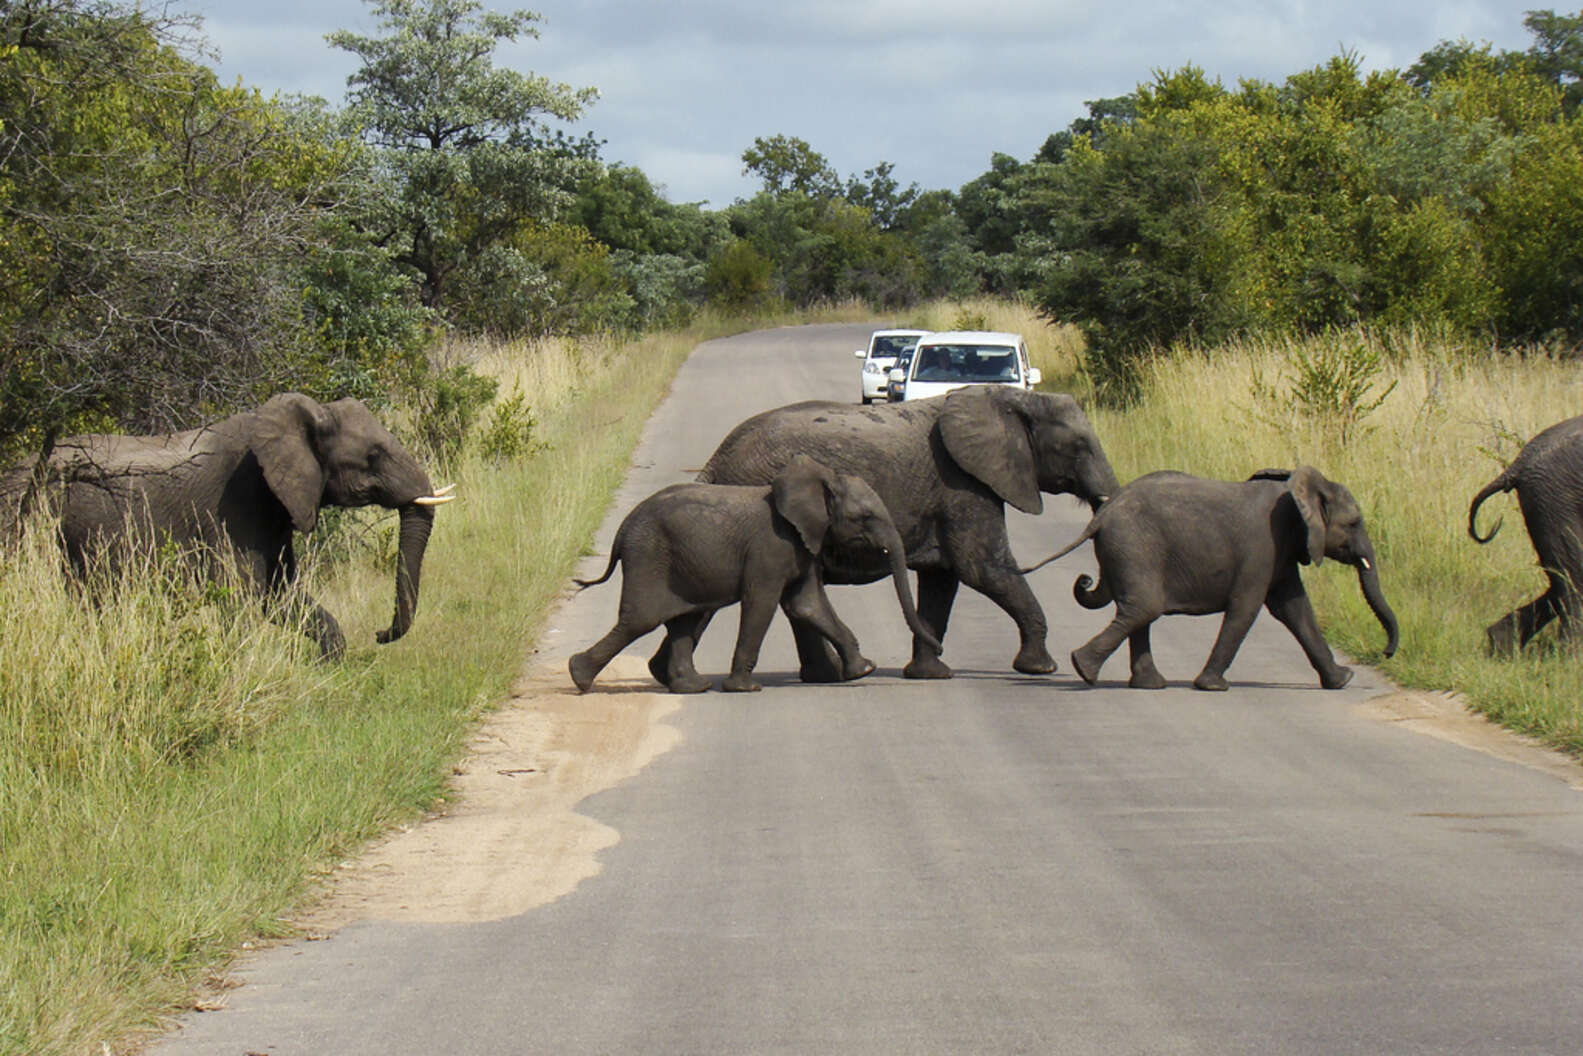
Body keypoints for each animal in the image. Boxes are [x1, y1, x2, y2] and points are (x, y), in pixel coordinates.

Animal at [1, 394, 459, 655]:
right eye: (372, 457)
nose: (379, 634)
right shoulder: (236, 507)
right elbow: (242, 598)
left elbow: (280, 595)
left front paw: (330, 666)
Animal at [569, 455, 937, 693]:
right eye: (865, 517)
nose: (938, 646)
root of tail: (622, 528)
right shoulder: (771, 548)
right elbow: (762, 603)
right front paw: (745, 689)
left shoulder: (802, 545)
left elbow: (808, 604)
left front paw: (863, 670)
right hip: (648, 557)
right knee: (641, 620)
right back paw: (579, 677)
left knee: (684, 620)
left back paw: (694, 687)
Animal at [687, 384, 1120, 680]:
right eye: (1078, 446)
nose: (1083, 579)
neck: (1012, 398)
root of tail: (715, 462)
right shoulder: (962, 483)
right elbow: (982, 569)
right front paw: (1040, 669)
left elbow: (942, 579)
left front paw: (930, 675)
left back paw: (825, 676)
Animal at [1025, 465, 1399, 690]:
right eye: (1354, 523)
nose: (1385, 653)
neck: (1294, 489)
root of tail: (1102, 515)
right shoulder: (1262, 546)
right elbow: (1246, 609)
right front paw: (1212, 686)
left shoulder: (1282, 552)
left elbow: (1296, 610)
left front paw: (1342, 680)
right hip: (1134, 545)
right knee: (1144, 609)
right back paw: (1084, 669)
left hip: (1132, 550)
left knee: (1139, 611)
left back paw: (1145, 683)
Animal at [1462, 411, 1583, 652]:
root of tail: (1518, 463)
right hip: (1554, 500)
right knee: (1574, 581)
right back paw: (1569, 656)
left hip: (1546, 500)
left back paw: (1502, 646)